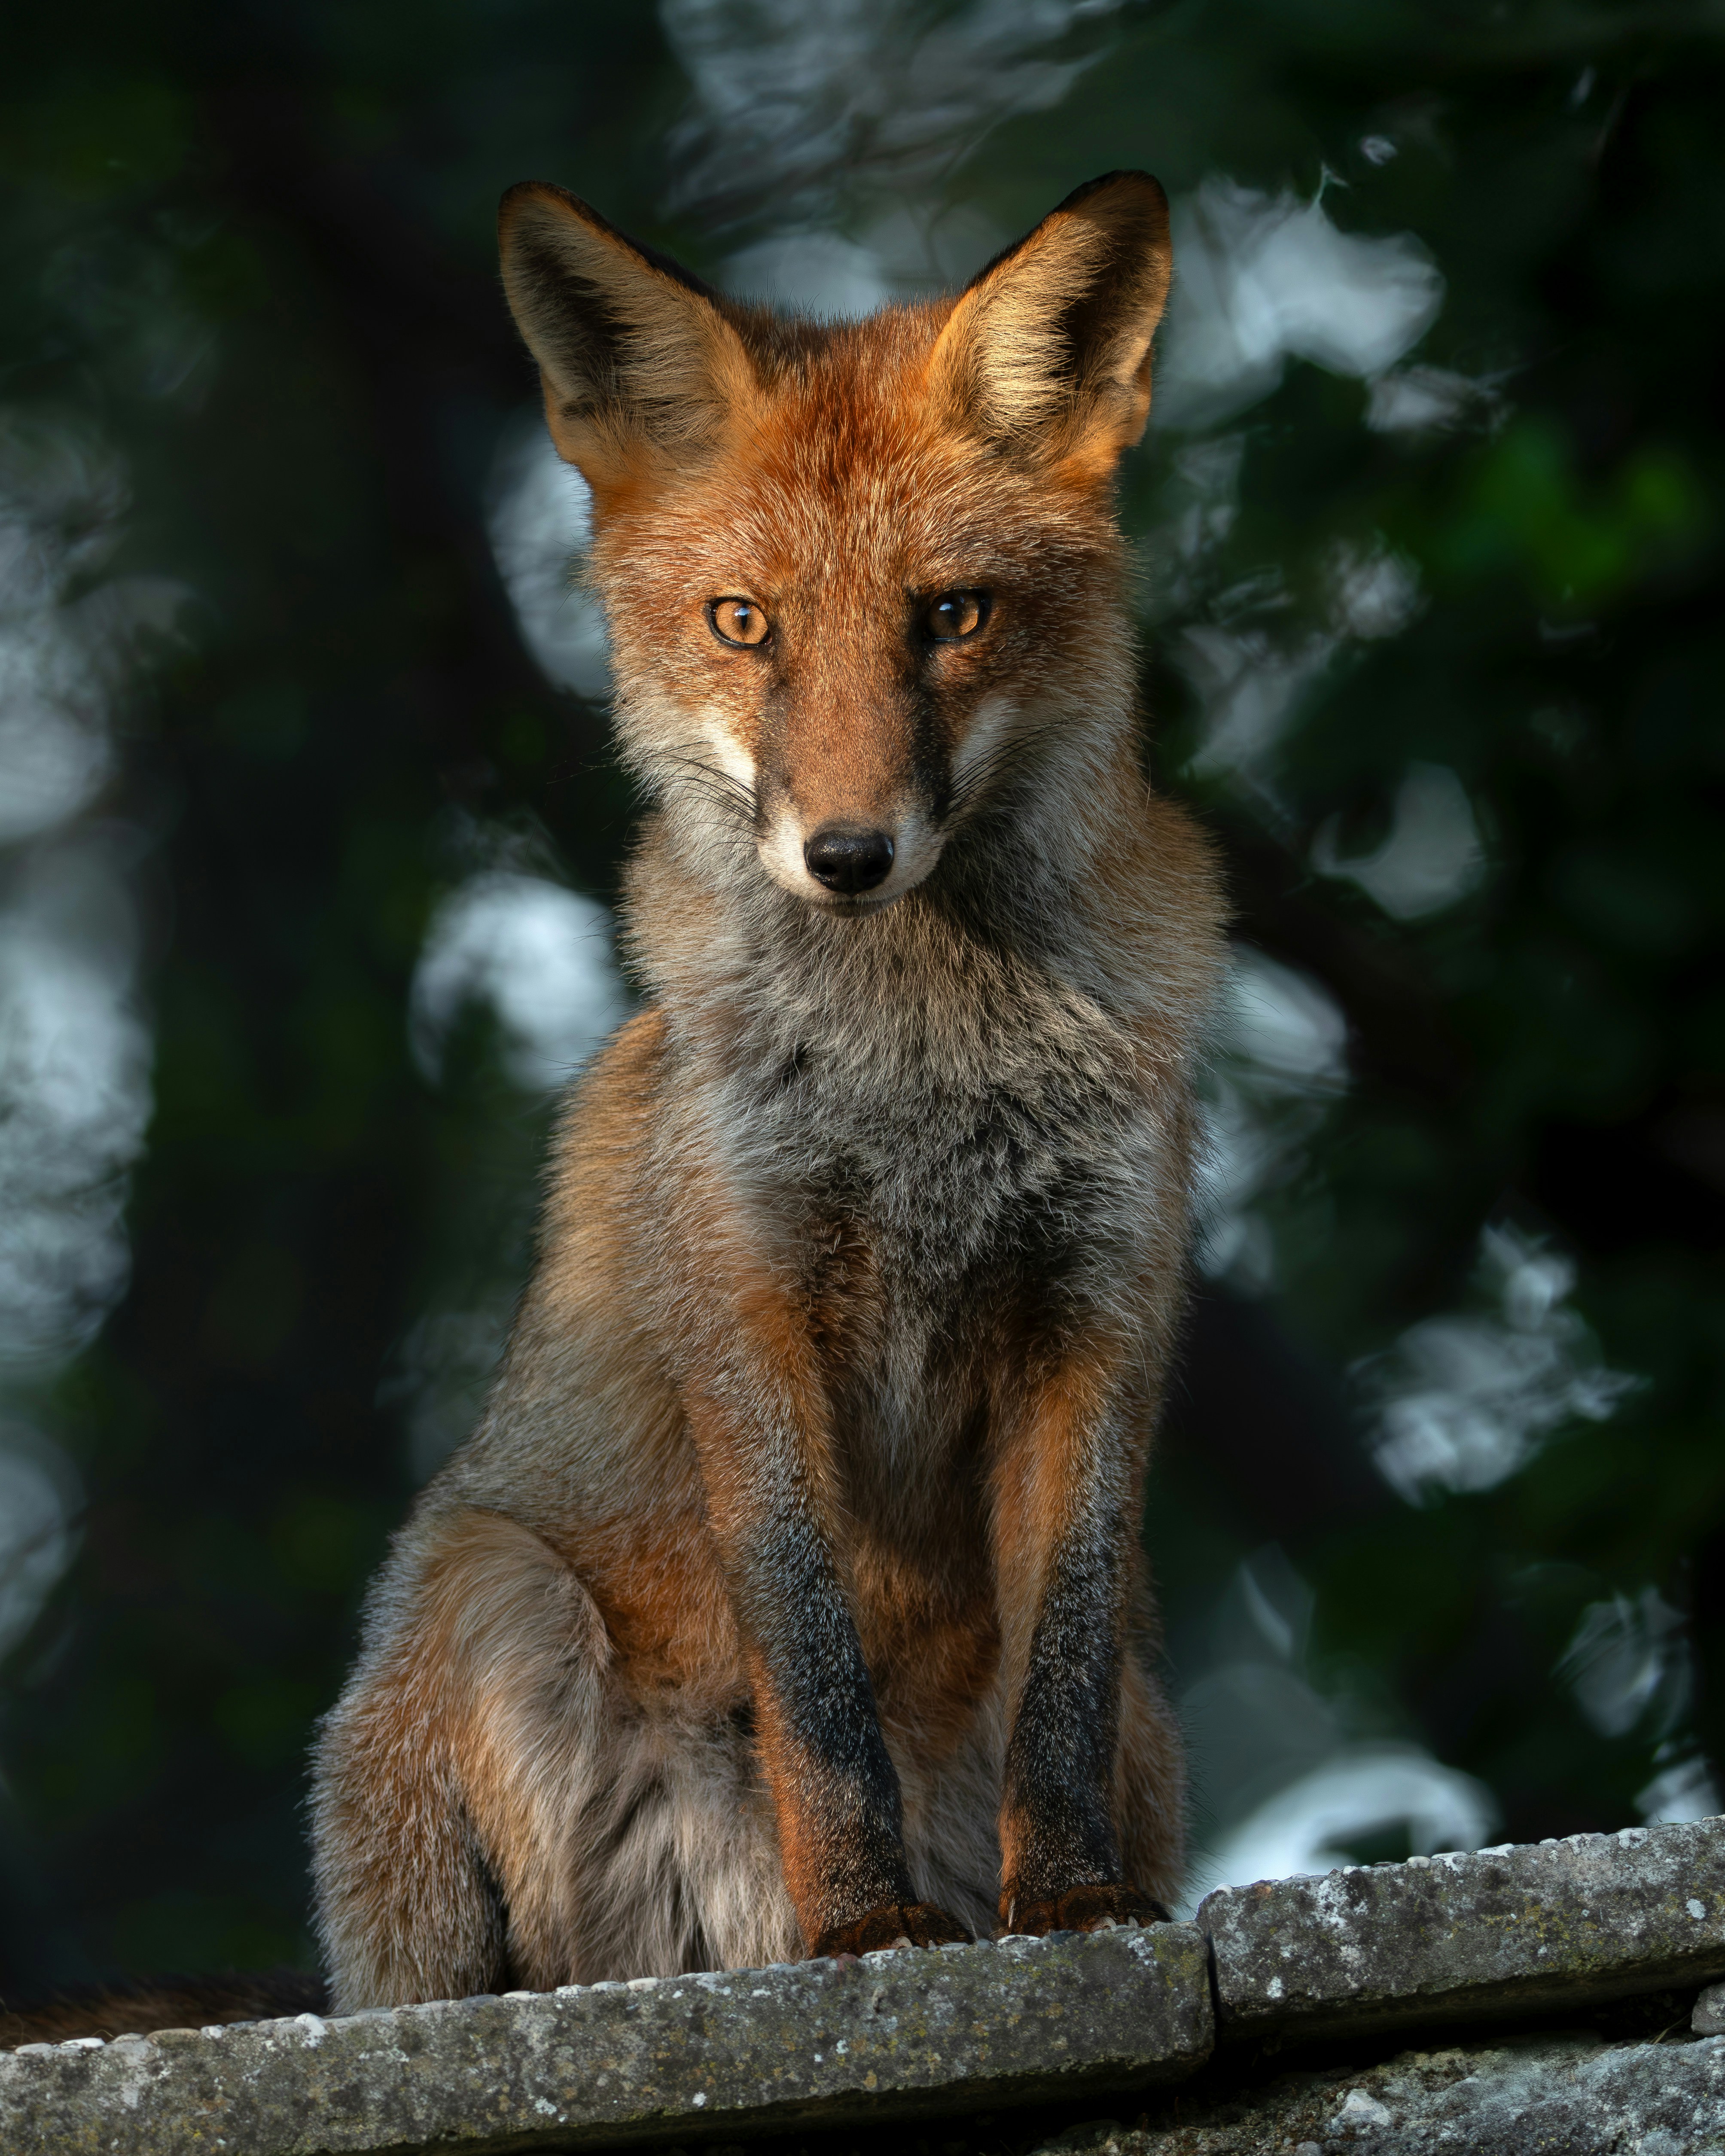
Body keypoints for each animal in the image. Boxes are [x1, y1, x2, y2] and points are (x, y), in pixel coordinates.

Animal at [306, 168, 1227, 2009]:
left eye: (950, 615)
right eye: (747, 625)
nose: (849, 855)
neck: (925, 1077)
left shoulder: (1100, 1312)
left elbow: (1062, 1670)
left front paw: (1069, 1903)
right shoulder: (748, 1305)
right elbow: (811, 1671)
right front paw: (863, 1929)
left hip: (1154, 1716)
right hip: (489, 1598)